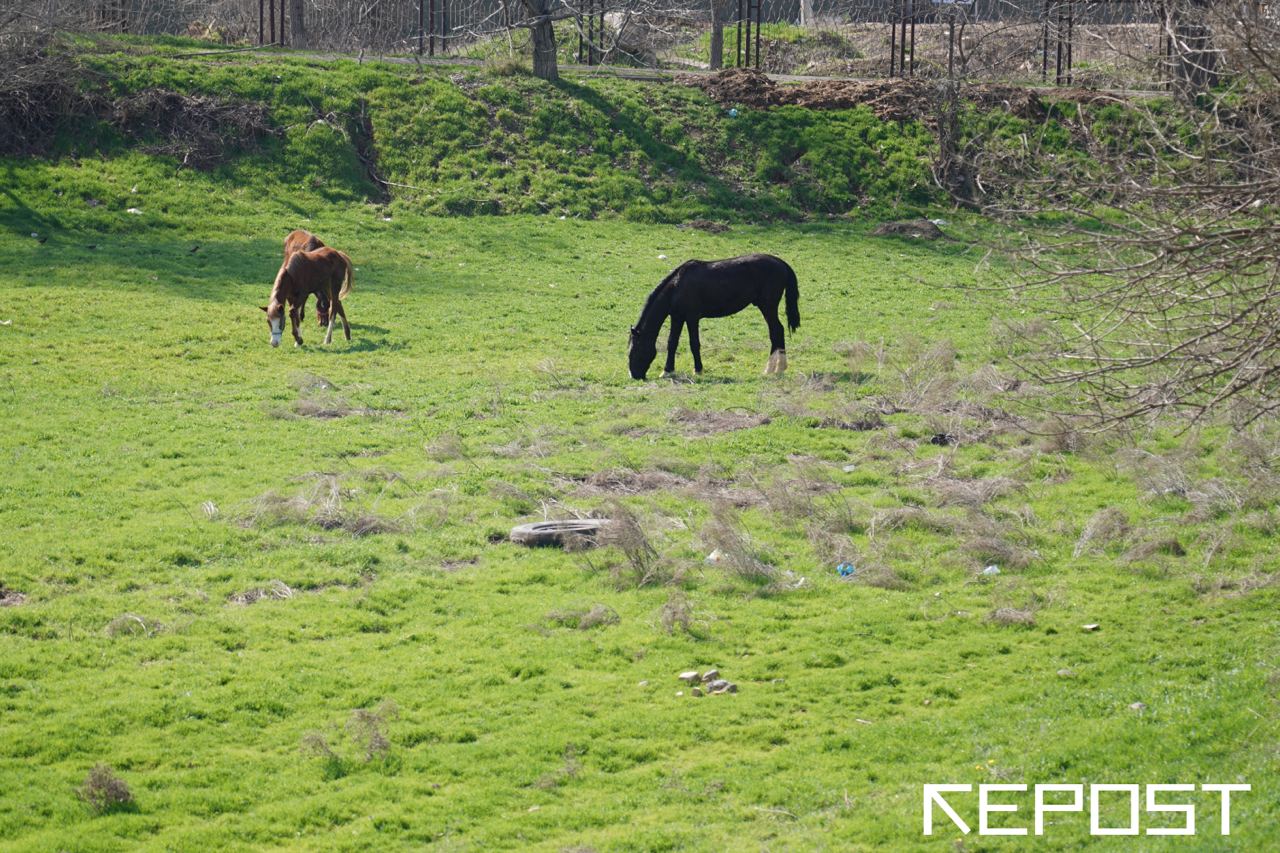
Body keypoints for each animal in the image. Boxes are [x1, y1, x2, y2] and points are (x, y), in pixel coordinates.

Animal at [629, 252, 798, 379]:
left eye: (635, 350)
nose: (634, 375)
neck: (677, 286)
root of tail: (781, 262)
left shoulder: (692, 318)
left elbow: (694, 343)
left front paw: (698, 370)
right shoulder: (677, 317)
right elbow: (672, 343)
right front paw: (667, 371)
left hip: (768, 307)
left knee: (777, 331)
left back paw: (773, 369)